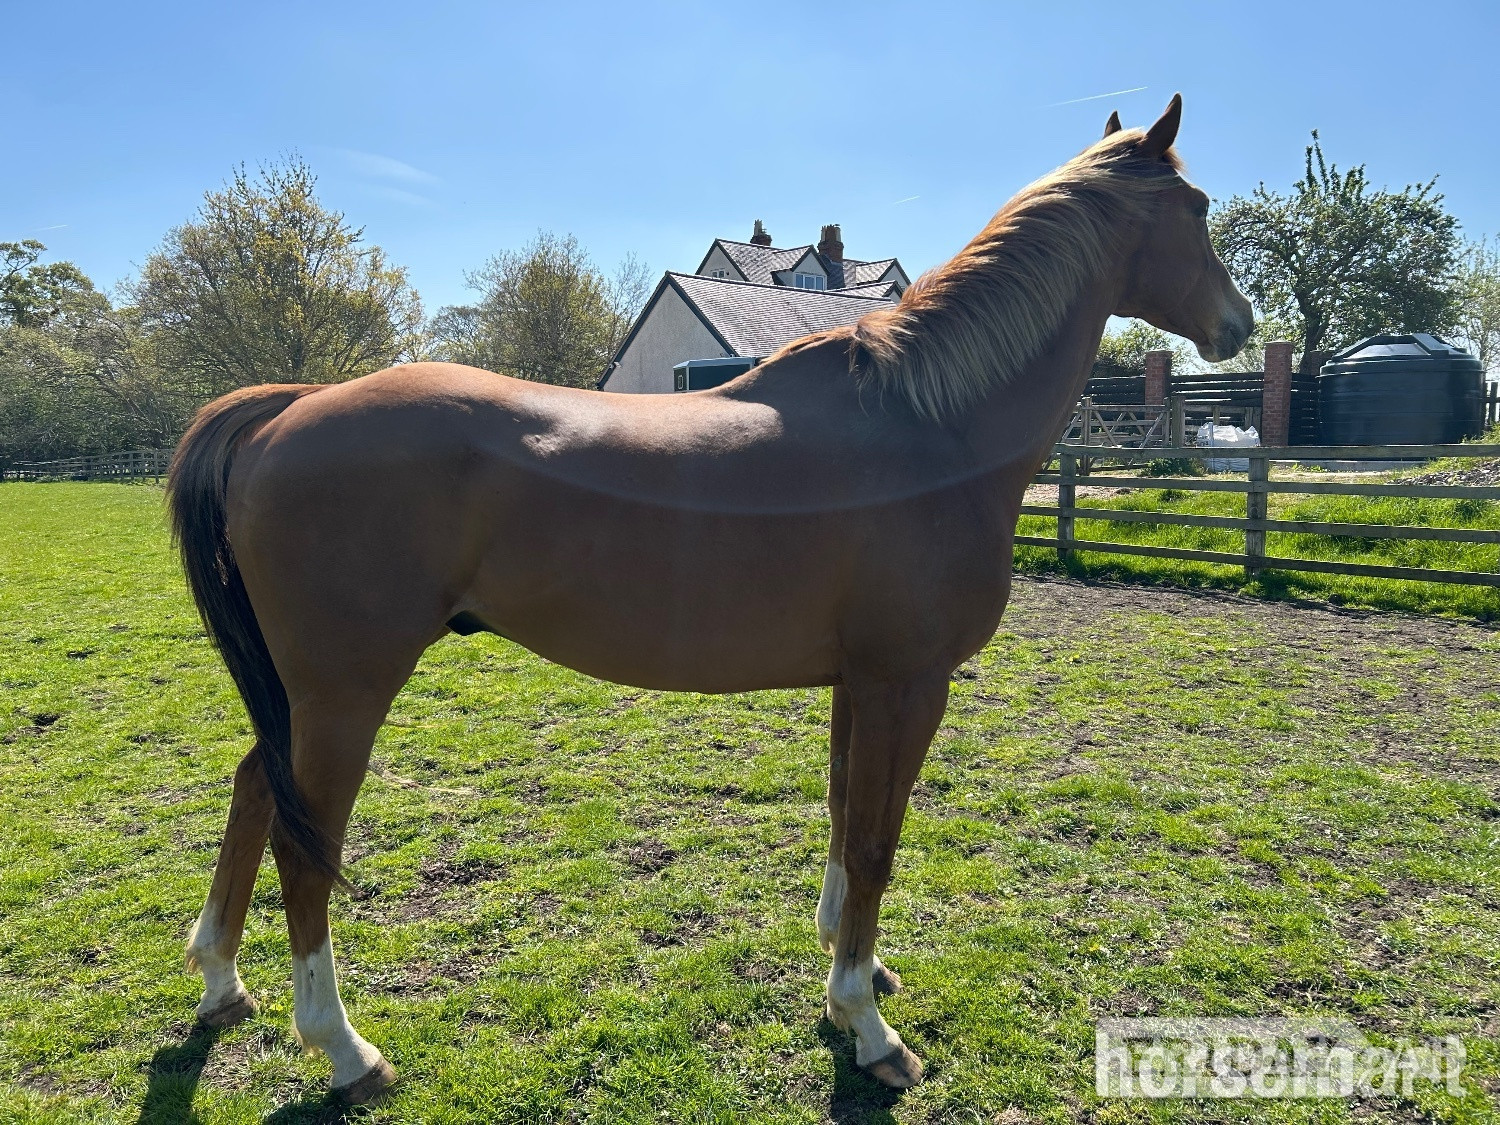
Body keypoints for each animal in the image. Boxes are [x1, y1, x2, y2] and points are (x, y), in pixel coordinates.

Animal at [167, 94, 1251, 1103]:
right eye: (1196, 207)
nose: (1238, 325)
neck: (926, 424)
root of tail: (289, 410)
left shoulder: (858, 683)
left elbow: (843, 817)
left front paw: (852, 972)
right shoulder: (908, 682)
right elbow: (876, 841)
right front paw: (866, 1027)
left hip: (302, 695)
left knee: (254, 789)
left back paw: (222, 981)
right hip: (345, 693)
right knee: (305, 847)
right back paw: (345, 1050)